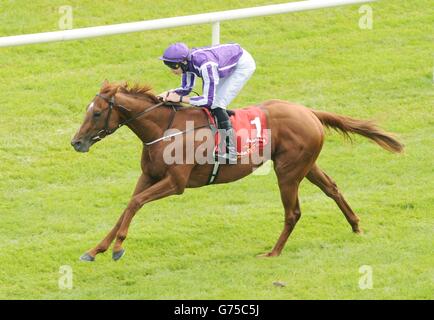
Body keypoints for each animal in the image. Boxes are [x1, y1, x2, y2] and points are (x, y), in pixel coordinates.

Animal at [71, 81, 404, 262]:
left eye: (97, 113)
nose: (76, 142)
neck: (165, 129)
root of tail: (309, 111)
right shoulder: (149, 176)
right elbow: (127, 207)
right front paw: (95, 249)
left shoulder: (175, 182)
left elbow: (136, 204)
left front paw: (117, 248)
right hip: (306, 165)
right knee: (332, 188)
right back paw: (356, 226)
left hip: (288, 171)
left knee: (293, 212)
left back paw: (273, 252)